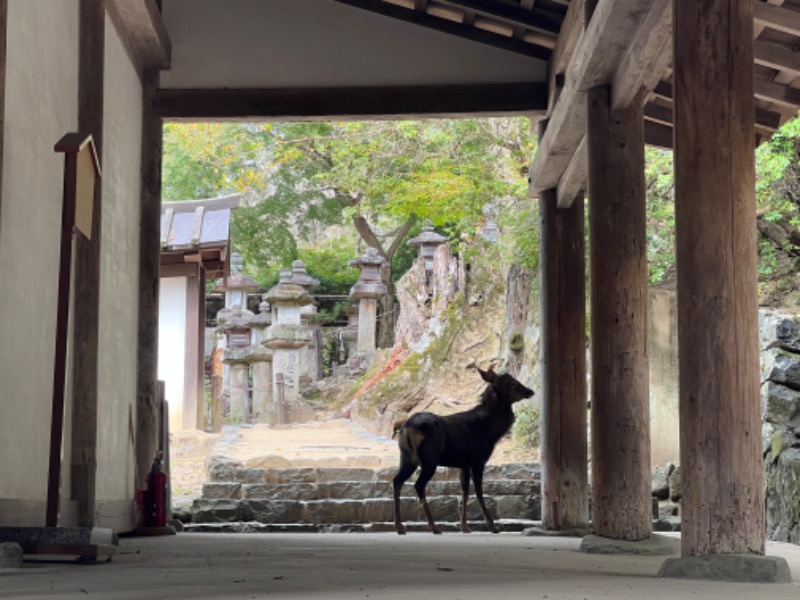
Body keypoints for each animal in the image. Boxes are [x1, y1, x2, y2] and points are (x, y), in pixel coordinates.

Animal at [392, 366, 536, 536]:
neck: (491, 432)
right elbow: (479, 491)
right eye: (512, 383)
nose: (530, 391)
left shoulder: (464, 464)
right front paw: (492, 526)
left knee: (397, 480)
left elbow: (465, 493)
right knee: (418, 485)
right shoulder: (478, 459)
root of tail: (408, 427)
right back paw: (433, 527)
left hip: (407, 456)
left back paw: (400, 526)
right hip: (430, 458)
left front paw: (464, 526)